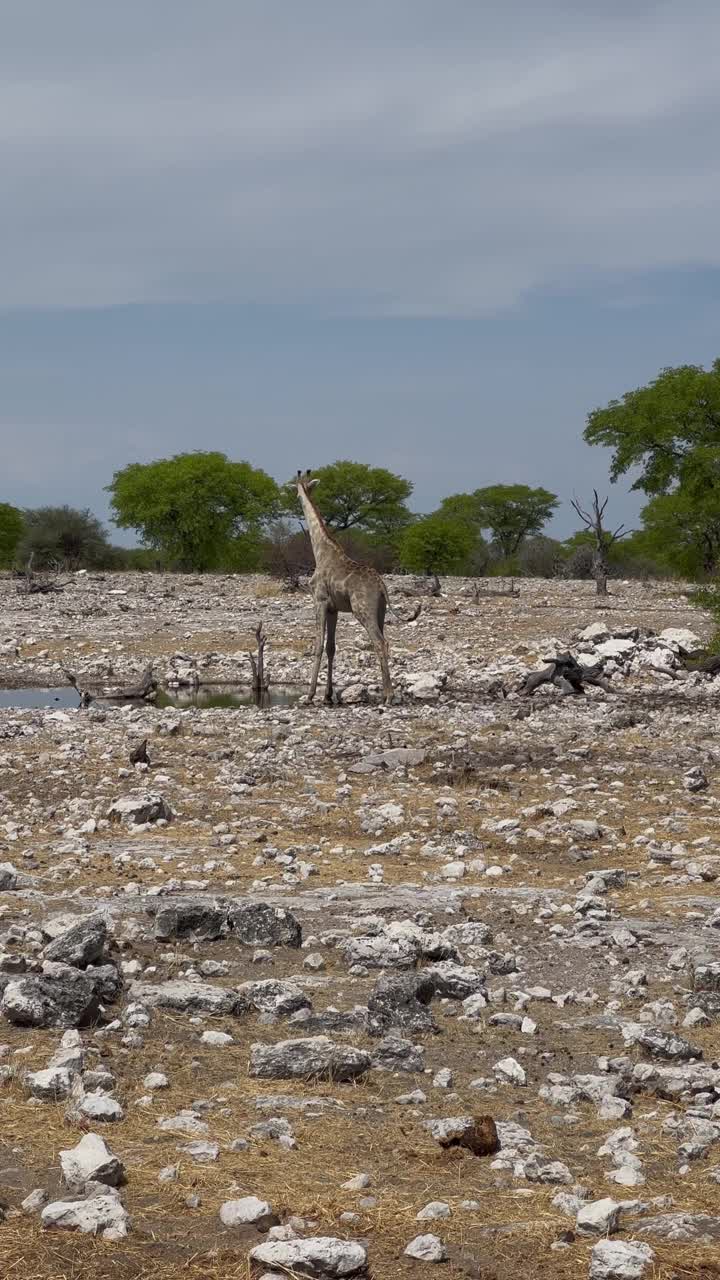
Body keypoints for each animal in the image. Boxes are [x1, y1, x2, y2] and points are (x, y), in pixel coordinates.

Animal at [295, 465, 392, 706]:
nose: (296, 497)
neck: (321, 551)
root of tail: (381, 586)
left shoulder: (319, 601)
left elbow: (318, 645)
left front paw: (310, 695)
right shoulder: (334, 608)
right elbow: (331, 647)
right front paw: (328, 695)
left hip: (362, 610)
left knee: (379, 643)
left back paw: (388, 696)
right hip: (380, 612)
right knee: (385, 642)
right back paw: (387, 693)